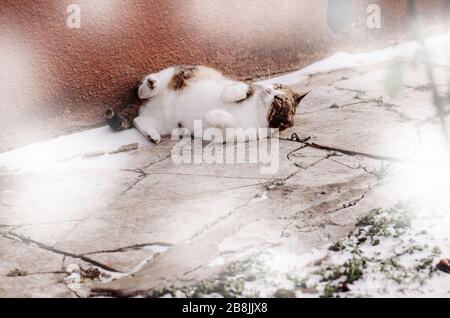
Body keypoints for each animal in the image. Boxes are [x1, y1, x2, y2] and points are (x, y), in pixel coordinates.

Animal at [105, 64, 310, 143]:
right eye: (277, 85)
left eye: (278, 100)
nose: (268, 90)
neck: (255, 111)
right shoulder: (244, 85)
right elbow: (243, 87)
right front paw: (228, 94)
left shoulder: (236, 135)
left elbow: (229, 124)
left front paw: (213, 114)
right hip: (176, 74)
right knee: (143, 90)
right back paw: (149, 85)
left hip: (164, 123)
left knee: (139, 120)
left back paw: (153, 135)